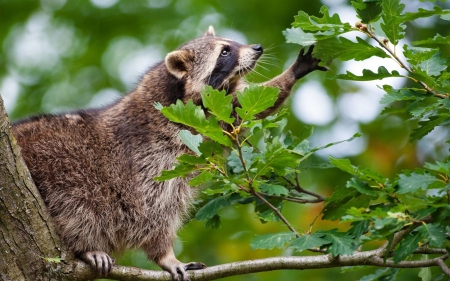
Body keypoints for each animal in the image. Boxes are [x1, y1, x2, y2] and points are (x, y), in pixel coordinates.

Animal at [11, 26, 326, 280]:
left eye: (232, 41)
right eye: (225, 51)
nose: (257, 48)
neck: (177, 92)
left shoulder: (218, 115)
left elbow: (254, 104)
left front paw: (291, 72)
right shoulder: (152, 154)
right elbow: (153, 209)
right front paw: (165, 255)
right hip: (60, 166)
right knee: (79, 205)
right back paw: (86, 247)